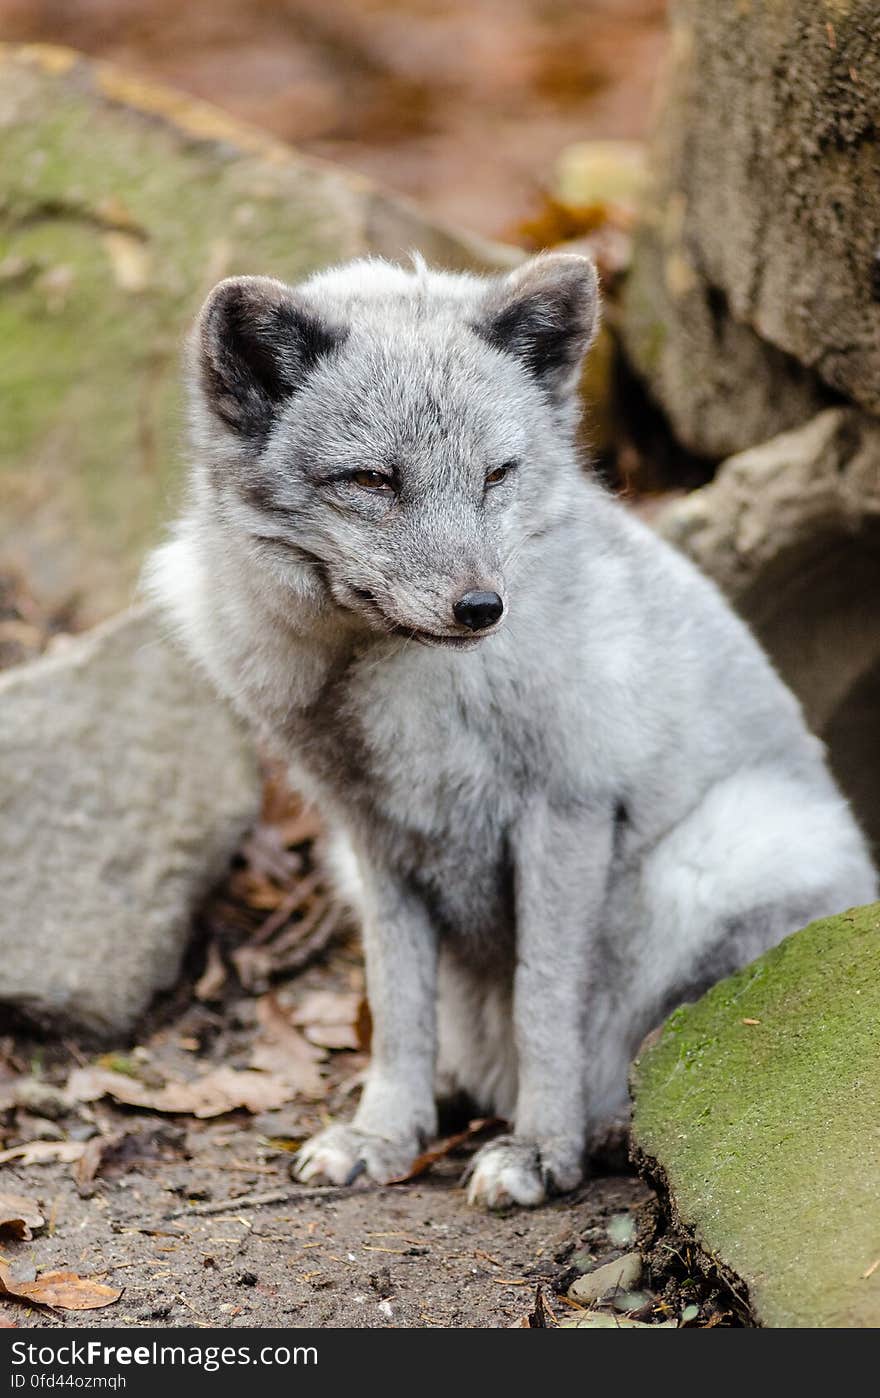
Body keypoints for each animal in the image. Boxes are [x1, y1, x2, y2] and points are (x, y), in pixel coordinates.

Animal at [147, 254, 873, 1213]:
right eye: (372, 481)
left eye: (497, 473)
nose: (481, 607)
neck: (391, 682)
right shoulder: (374, 837)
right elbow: (398, 1007)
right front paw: (386, 1132)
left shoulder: (565, 812)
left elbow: (545, 1001)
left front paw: (541, 1148)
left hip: (727, 851)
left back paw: (609, 1126)